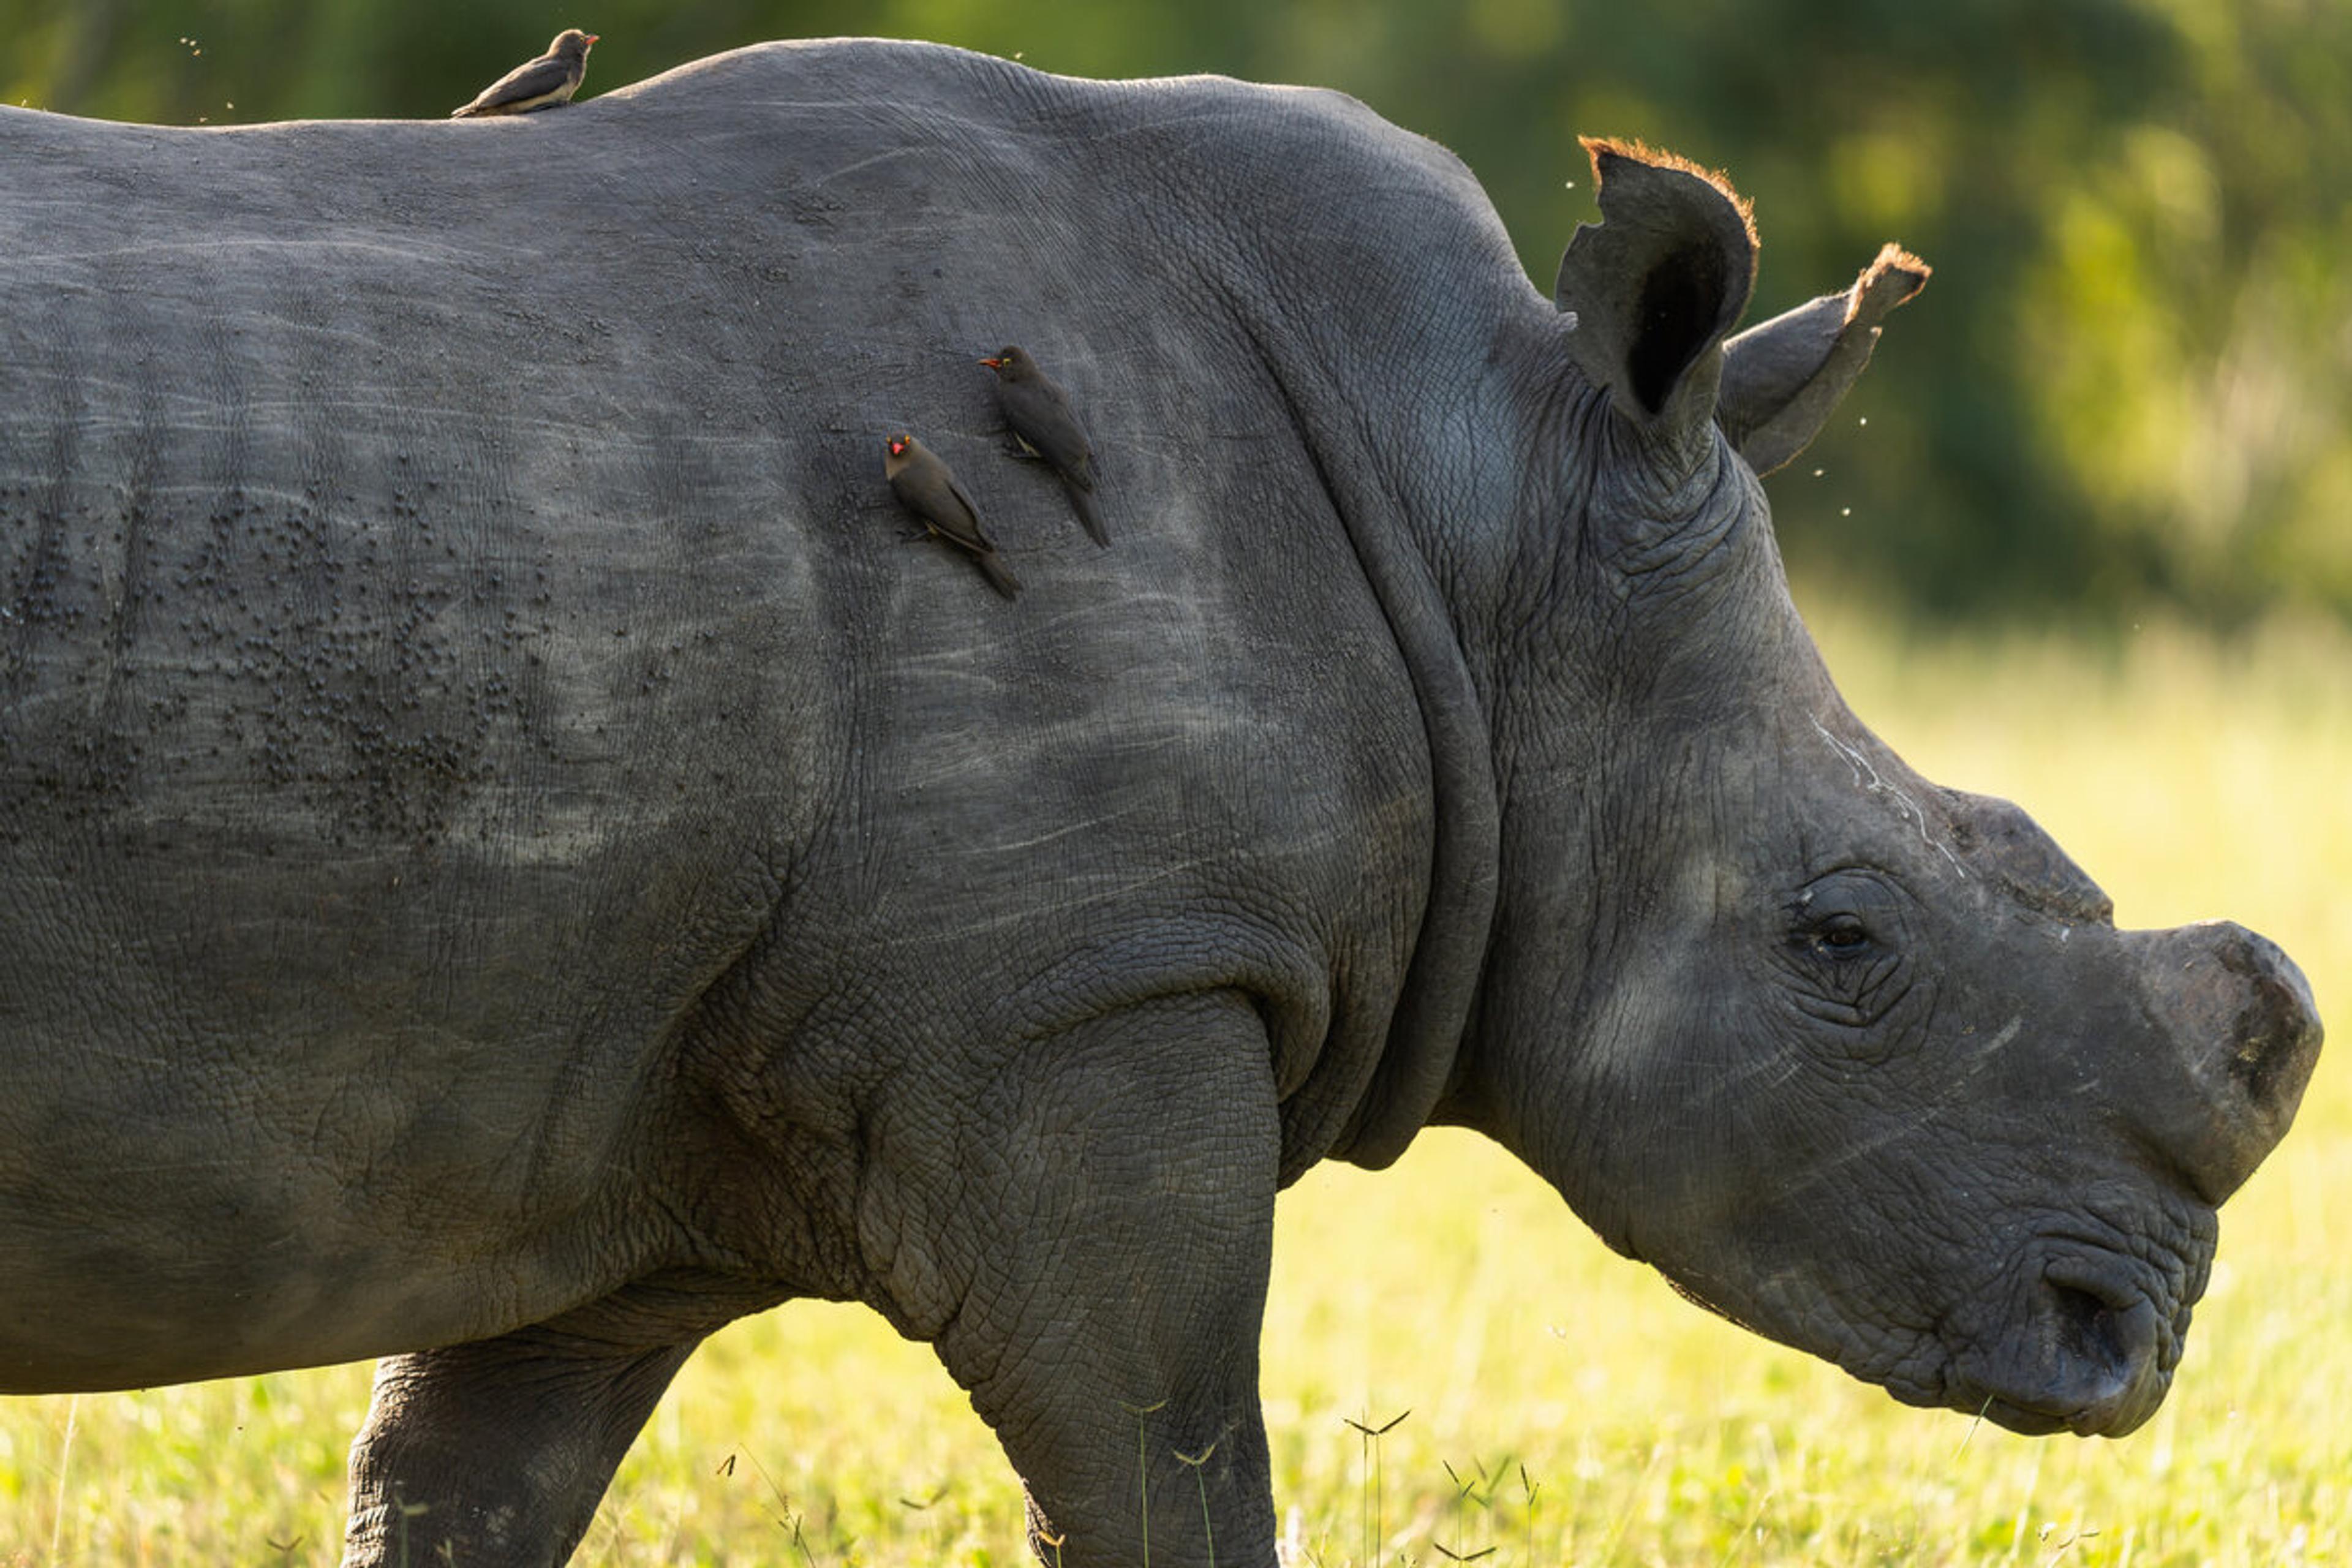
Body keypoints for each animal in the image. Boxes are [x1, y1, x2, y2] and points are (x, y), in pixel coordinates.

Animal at [0, 37, 2321, 1568]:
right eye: (1842, 942)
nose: (2127, 1338)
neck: (1487, 523)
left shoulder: (596, 1096)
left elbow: (454, 1486)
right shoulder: (1086, 988)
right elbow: (1173, 1470)